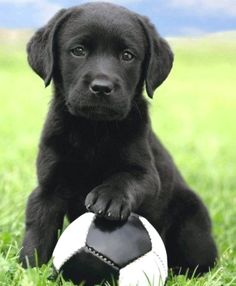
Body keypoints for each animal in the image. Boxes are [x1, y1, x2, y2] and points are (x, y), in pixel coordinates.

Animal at [20, 1, 218, 274]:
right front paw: (29, 268)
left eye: (127, 55)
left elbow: (126, 177)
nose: (102, 87)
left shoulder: (147, 174)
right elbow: (38, 228)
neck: (93, 130)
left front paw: (109, 198)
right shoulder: (49, 185)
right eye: (78, 51)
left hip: (192, 222)